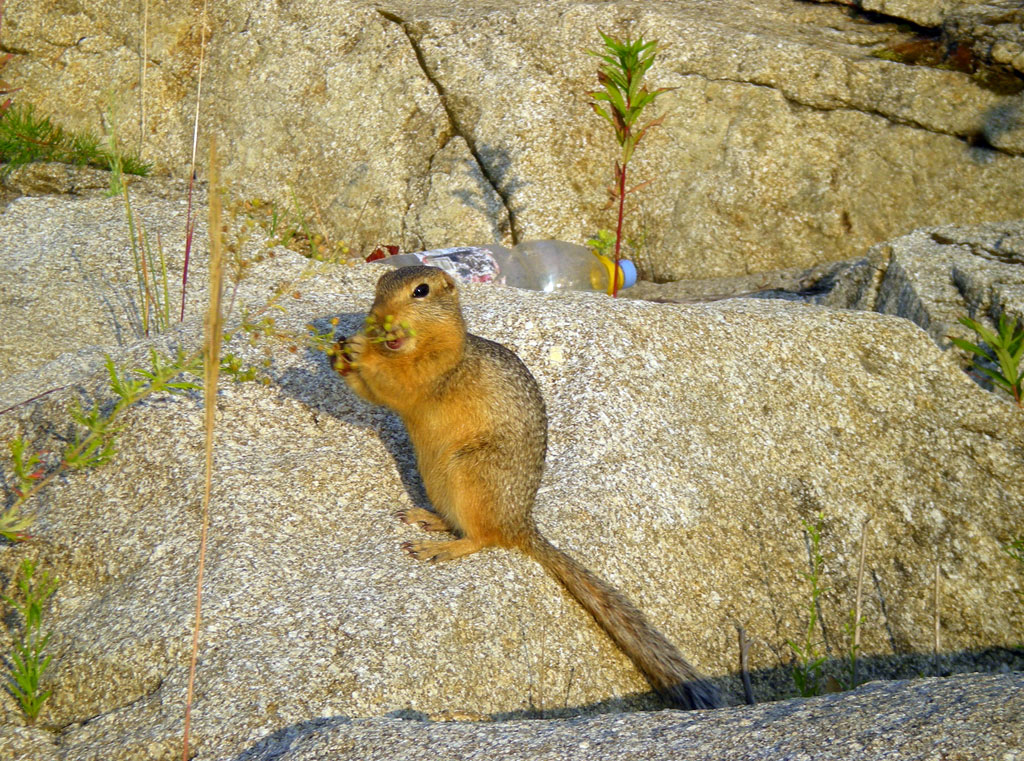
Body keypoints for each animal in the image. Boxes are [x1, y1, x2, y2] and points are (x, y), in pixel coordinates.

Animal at [331, 266, 716, 708]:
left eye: (420, 291)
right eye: (378, 286)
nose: (378, 319)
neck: (426, 341)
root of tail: (521, 525)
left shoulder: (435, 370)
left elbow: (401, 382)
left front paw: (359, 349)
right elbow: (375, 392)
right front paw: (338, 354)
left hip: (471, 474)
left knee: (483, 538)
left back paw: (440, 548)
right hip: (440, 481)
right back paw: (427, 519)